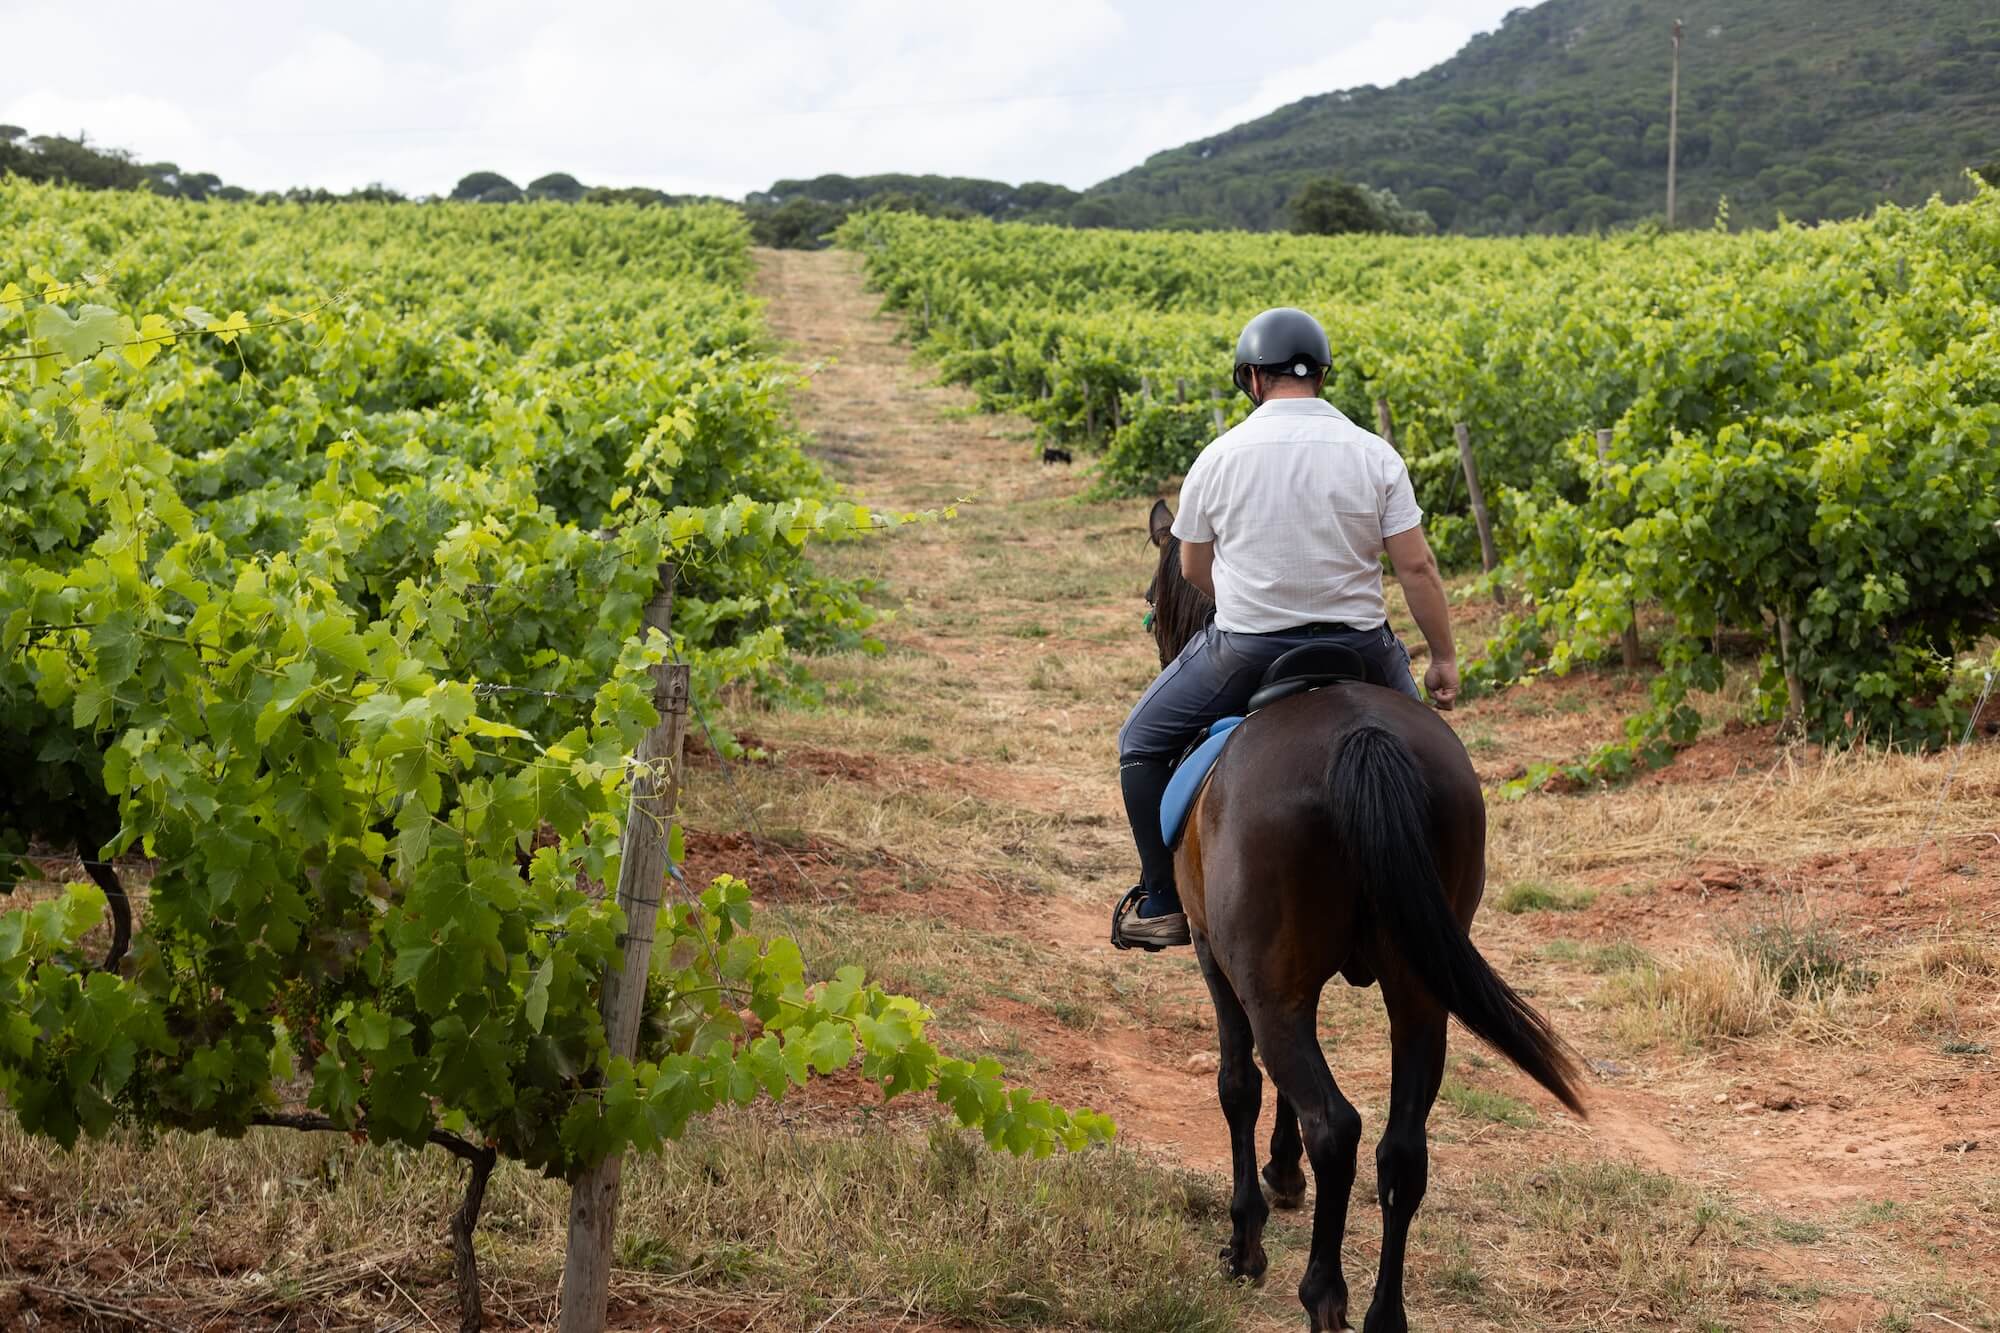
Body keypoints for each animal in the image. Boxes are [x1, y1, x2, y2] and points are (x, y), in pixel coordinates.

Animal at [1144, 500, 1592, 1328]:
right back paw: (1385, 1311)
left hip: (1273, 984)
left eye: (1153, 601)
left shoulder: (1222, 962)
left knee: (1337, 1125)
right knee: (1401, 1148)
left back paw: (1322, 1291)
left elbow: (1239, 1082)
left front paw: (1246, 1237)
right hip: (1418, 992)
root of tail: (1360, 733)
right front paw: (1282, 1174)